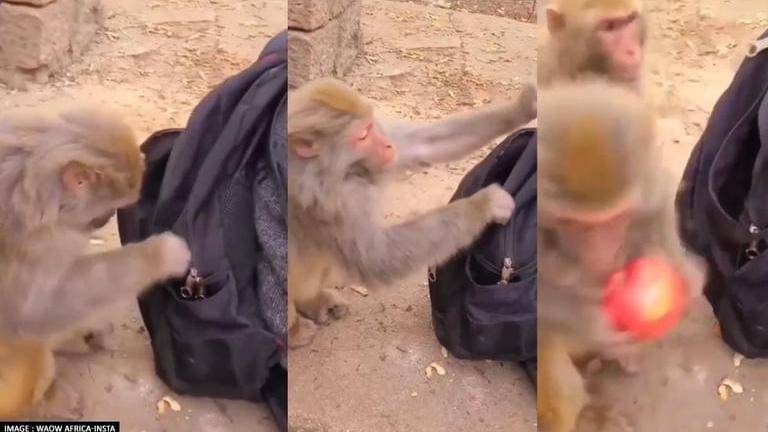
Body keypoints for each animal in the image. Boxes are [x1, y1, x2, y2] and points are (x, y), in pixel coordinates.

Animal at [0, 106, 191, 420]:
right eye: (109, 207)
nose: (107, 218)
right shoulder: (35, 238)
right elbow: (32, 312)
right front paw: (161, 254)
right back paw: (48, 399)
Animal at [286, 77, 537, 348]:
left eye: (372, 127)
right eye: (362, 136)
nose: (387, 145)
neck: (334, 170)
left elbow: (422, 145)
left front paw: (525, 106)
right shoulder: (333, 201)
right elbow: (378, 258)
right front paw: (486, 204)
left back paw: (313, 301)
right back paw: (294, 330)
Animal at [536, 80, 705, 432]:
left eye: (615, 219)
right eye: (574, 224)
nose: (600, 252)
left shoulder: (645, 175)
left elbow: (659, 198)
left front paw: (687, 274)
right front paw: (596, 325)